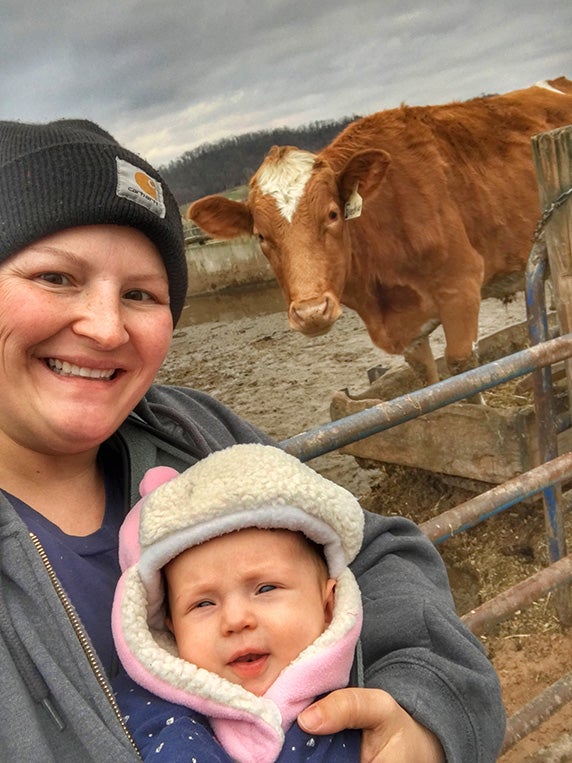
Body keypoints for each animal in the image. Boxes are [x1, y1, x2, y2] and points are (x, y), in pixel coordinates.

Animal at [190, 79, 572, 388]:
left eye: (332, 214)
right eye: (260, 236)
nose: (311, 312)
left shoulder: (460, 287)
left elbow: (462, 372)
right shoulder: (409, 331)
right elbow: (430, 381)